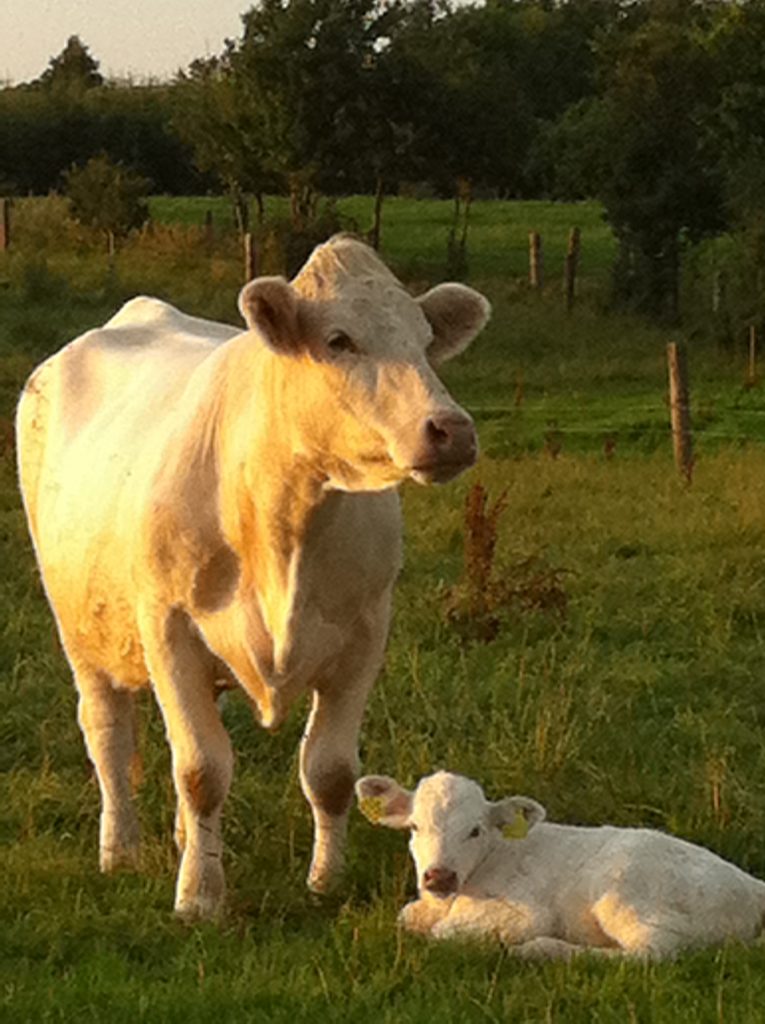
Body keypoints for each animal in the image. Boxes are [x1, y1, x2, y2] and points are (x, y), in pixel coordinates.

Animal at [16, 239, 491, 921]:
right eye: (338, 339)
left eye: (427, 342)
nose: (452, 429)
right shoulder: (168, 627)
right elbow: (201, 770)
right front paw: (199, 895)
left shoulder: (366, 632)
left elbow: (328, 770)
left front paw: (326, 880)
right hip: (78, 628)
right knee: (108, 734)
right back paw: (121, 850)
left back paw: (186, 839)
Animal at [356, 770, 765, 958]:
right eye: (414, 826)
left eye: (474, 830)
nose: (439, 876)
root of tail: (753, 886)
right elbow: (407, 917)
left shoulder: (528, 913)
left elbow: (442, 933)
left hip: (624, 895)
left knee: (652, 952)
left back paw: (542, 950)